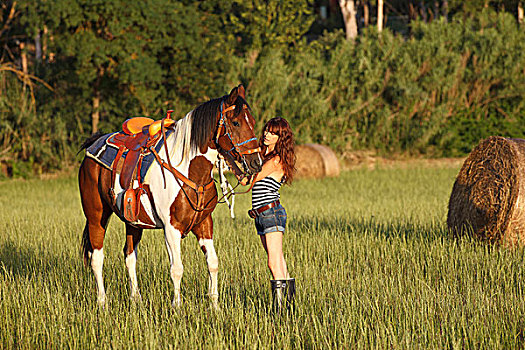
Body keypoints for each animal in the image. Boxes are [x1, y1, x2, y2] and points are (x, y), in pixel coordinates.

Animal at [78, 84, 262, 306]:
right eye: (235, 122)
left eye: (252, 122)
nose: (256, 162)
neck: (188, 171)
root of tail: (93, 142)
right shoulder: (171, 228)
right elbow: (177, 268)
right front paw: (177, 306)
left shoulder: (204, 224)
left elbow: (213, 263)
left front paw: (215, 305)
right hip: (97, 216)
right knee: (97, 257)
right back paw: (102, 301)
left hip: (133, 223)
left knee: (130, 256)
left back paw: (136, 298)